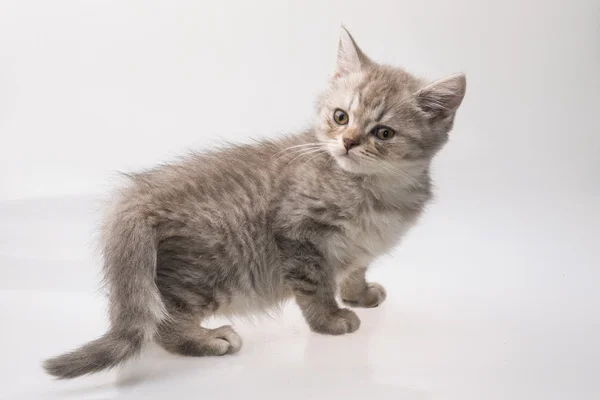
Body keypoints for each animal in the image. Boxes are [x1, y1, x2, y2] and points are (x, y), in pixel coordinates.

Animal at [45, 28, 468, 378]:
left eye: (384, 133)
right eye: (340, 117)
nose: (348, 142)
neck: (374, 190)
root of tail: (137, 197)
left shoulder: (361, 244)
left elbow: (355, 265)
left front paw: (359, 293)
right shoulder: (299, 233)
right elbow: (315, 284)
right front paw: (330, 319)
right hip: (204, 273)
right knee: (160, 319)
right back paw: (206, 340)